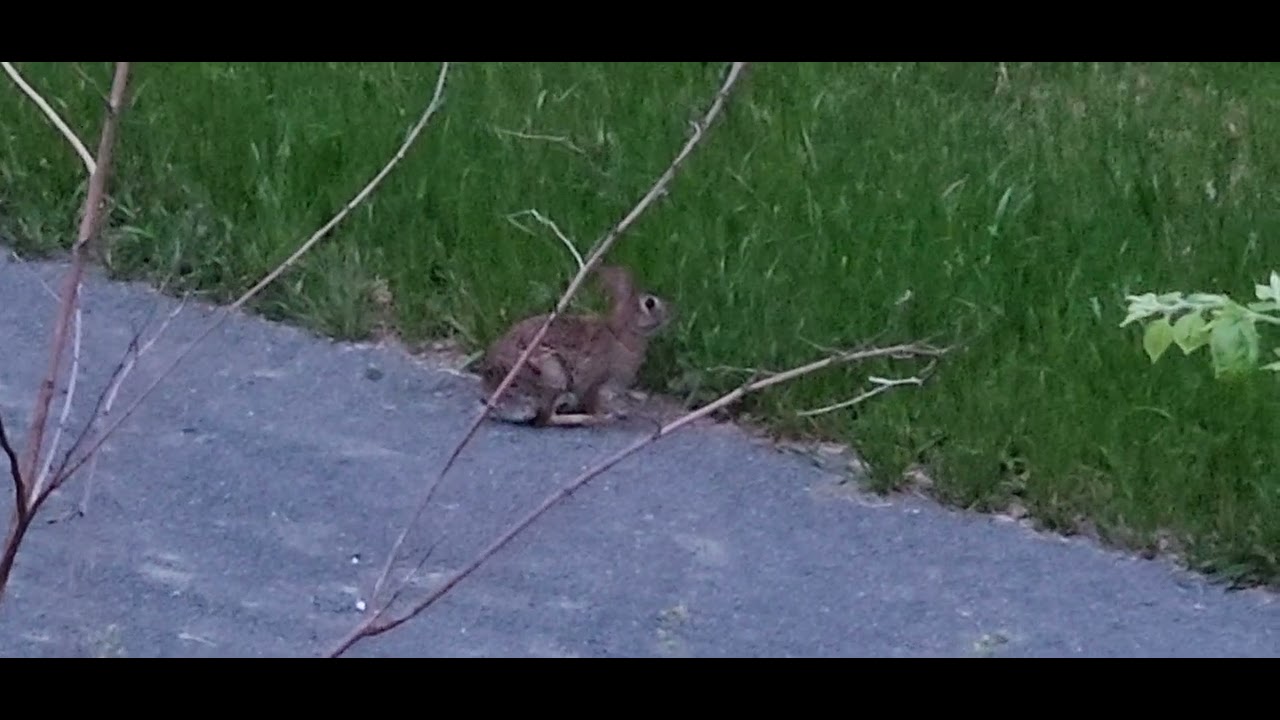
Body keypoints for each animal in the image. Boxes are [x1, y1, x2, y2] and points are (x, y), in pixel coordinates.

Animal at [475, 264, 673, 427]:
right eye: (650, 303)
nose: (672, 313)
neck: (619, 334)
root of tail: (495, 402)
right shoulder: (596, 383)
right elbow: (593, 402)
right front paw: (604, 416)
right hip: (552, 375)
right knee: (545, 419)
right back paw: (584, 419)